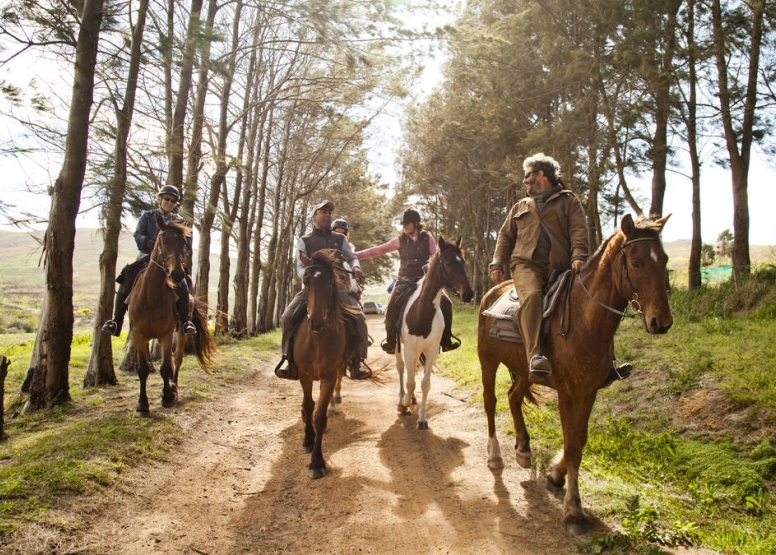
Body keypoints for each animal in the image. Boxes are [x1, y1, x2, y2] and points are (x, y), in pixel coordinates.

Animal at [128, 219, 215, 414]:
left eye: (183, 243)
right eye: (163, 240)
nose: (177, 274)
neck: (150, 296)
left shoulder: (165, 335)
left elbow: (166, 367)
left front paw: (168, 396)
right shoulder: (138, 334)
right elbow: (143, 370)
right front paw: (142, 404)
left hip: (182, 331)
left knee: (177, 359)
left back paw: (173, 387)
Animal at [298, 248, 360, 478]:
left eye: (330, 283)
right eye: (305, 280)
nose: (316, 322)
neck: (317, 339)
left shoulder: (329, 376)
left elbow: (319, 416)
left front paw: (317, 463)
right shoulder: (304, 375)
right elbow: (309, 406)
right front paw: (308, 440)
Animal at [398, 237, 476, 432]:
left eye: (463, 262)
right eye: (447, 263)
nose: (468, 294)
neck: (422, 314)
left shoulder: (431, 350)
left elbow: (425, 384)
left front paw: (422, 419)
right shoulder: (408, 349)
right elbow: (410, 382)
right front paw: (404, 404)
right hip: (399, 347)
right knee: (401, 368)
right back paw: (402, 398)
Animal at [476, 213, 668, 536]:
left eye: (664, 260)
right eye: (636, 262)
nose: (661, 321)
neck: (585, 319)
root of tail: (492, 292)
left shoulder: (588, 391)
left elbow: (581, 439)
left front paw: (555, 474)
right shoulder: (567, 392)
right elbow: (573, 447)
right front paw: (573, 511)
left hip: (526, 369)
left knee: (513, 397)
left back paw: (523, 450)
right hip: (488, 361)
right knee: (491, 403)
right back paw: (495, 455)